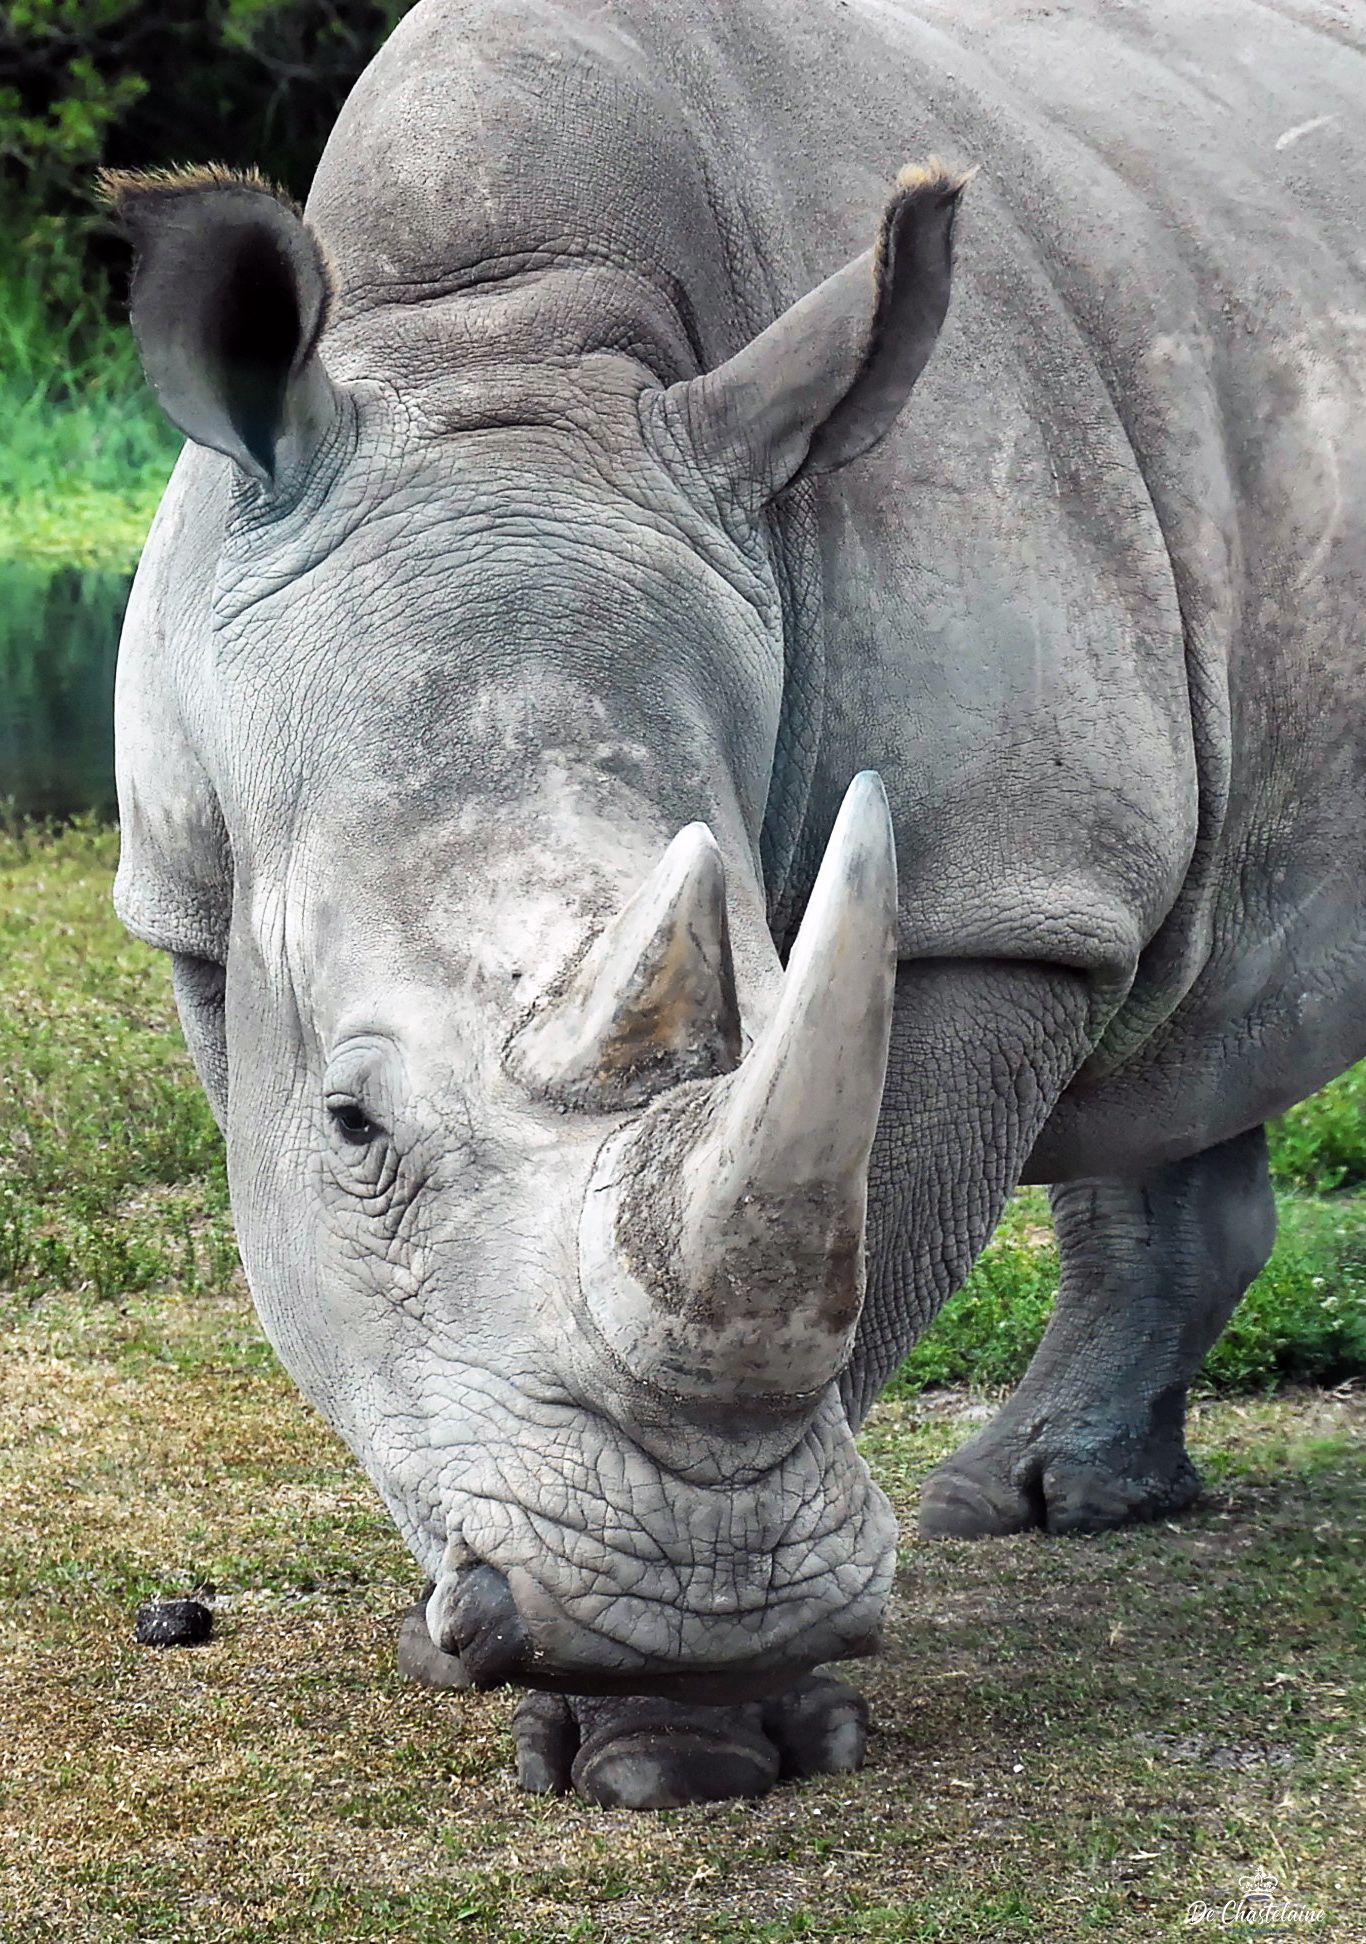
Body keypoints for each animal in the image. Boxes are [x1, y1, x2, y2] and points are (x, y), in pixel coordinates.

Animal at [105, 0, 1364, 1807]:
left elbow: (870, 1239)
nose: (683, 1605)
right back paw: (1039, 1503)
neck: (499, 351)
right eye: (352, 1121)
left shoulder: (1000, 885)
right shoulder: (194, 891)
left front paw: (672, 1729)